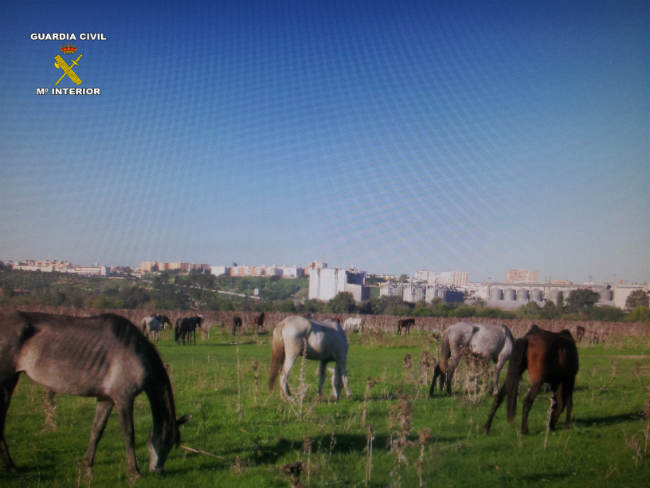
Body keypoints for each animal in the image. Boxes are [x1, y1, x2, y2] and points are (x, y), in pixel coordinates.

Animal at [0, 311, 190, 478]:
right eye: (167, 442)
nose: (159, 471)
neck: (137, 352)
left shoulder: (106, 398)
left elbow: (97, 430)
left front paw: (87, 466)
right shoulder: (124, 398)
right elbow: (129, 434)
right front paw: (134, 471)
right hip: (6, 381)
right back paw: (12, 468)